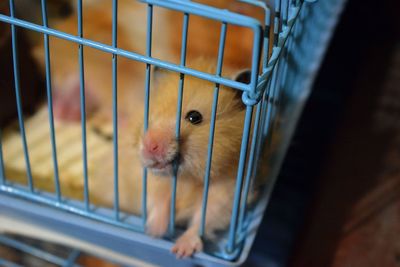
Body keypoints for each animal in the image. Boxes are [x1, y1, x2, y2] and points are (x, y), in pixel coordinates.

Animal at [92, 57, 252, 258]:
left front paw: (181, 251)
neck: (187, 179)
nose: (149, 146)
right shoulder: (149, 181)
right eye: (150, 114)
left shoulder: (226, 192)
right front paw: (154, 232)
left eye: (194, 117)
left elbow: (203, 219)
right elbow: (159, 200)